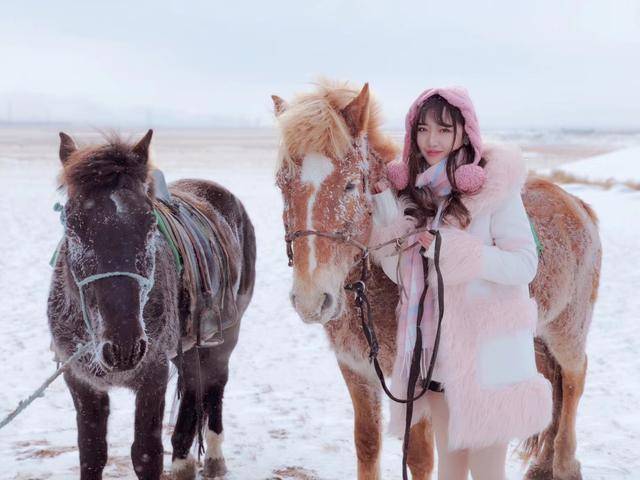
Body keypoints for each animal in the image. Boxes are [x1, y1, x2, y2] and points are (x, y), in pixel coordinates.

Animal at [47, 129, 255, 478]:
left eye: (148, 222)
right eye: (73, 224)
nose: (123, 346)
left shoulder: (152, 377)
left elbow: (146, 455)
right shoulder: (80, 379)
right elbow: (91, 452)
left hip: (226, 335)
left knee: (214, 384)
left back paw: (213, 458)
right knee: (194, 387)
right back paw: (183, 461)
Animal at [272, 81, 604, 480]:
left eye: (351, 186)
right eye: (282, 185)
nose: (310, 299)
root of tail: (575, 204)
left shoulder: (416, 379)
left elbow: (419, 457)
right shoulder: (356, 370)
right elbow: (367, 443)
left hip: (567, 328)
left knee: (572, 379)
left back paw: (566, 463)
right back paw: (542, 465)